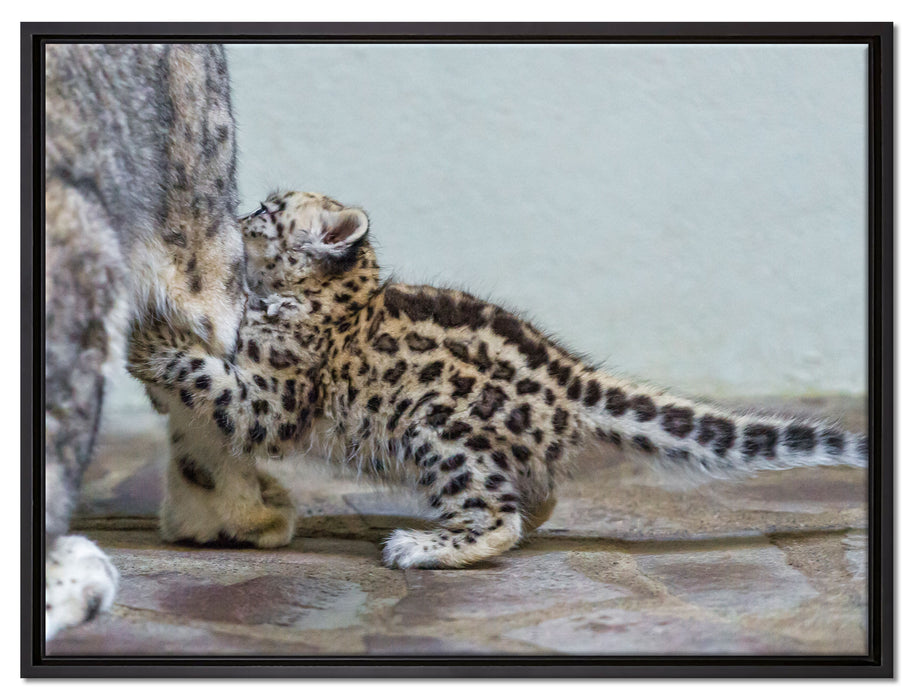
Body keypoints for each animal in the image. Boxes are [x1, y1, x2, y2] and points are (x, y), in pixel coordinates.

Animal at [127, 190, 869, 570]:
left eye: (270, 209)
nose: (239, 213)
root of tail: (573, 378)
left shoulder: (272, 397)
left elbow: (213, 376)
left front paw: (150, 337)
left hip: (440, 431)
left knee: (497, 517)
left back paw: (419, 545)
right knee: (534, 497)